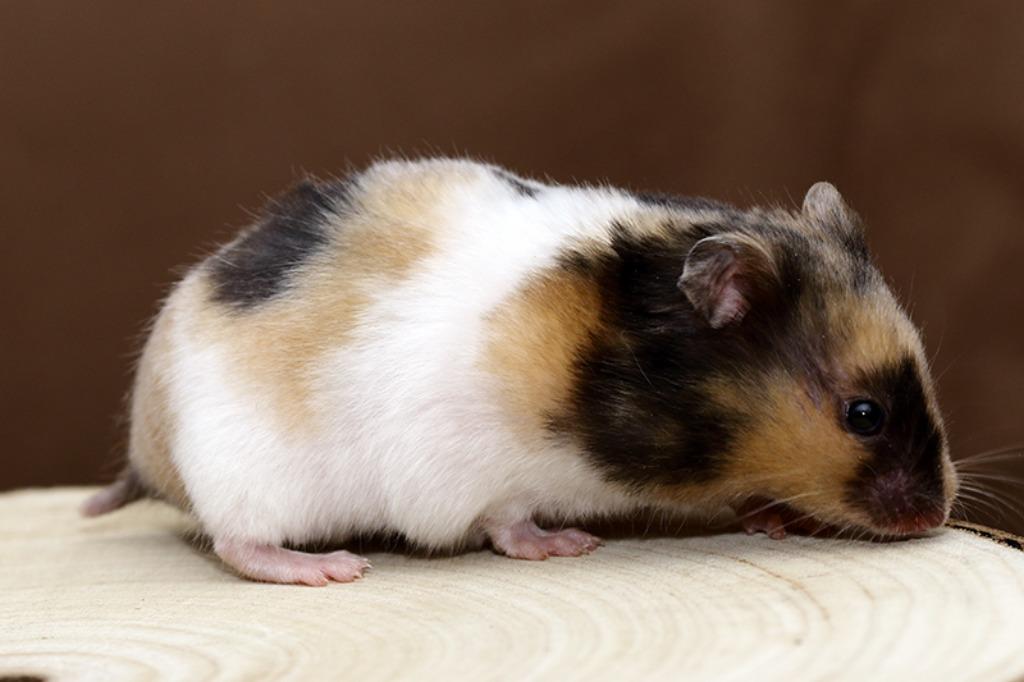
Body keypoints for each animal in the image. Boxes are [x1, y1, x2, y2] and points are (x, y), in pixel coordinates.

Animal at [83, 158, 959, 585]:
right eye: (863, 415)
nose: (936, 517)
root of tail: (145, 447)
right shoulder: (476, 471)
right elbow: (507, 522)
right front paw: (566, 545)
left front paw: (772, 517)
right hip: (249, 474)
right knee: (238, 544)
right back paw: (331, 569)